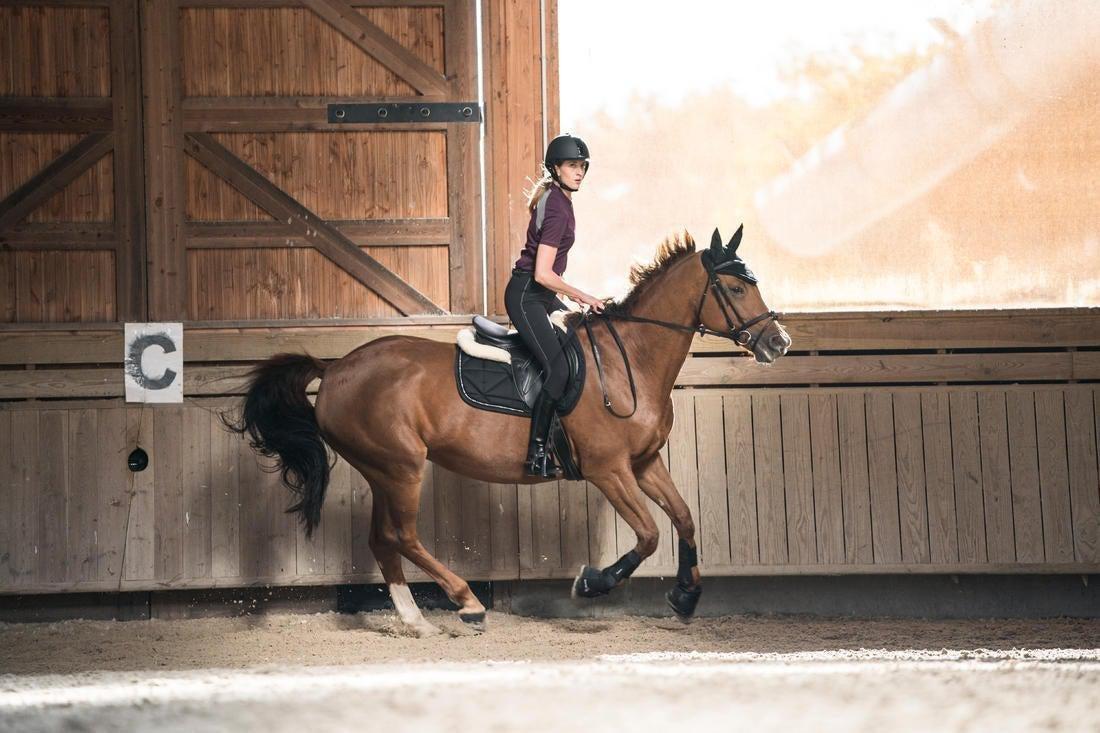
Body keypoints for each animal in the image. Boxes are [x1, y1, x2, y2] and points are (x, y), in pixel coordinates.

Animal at [226, 225, 790, 635]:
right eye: (736, 287)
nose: (778, 342)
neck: (630, 360)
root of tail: (335, 368)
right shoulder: (608, 469)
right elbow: (650, 534)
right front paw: (592, 583)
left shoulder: (644, 463)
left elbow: (685, 518)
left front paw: (686, 596)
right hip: (401, 467)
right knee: (401, 535)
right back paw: (467, 603)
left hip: (381, 470)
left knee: (382, 540)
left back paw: (415, 620)